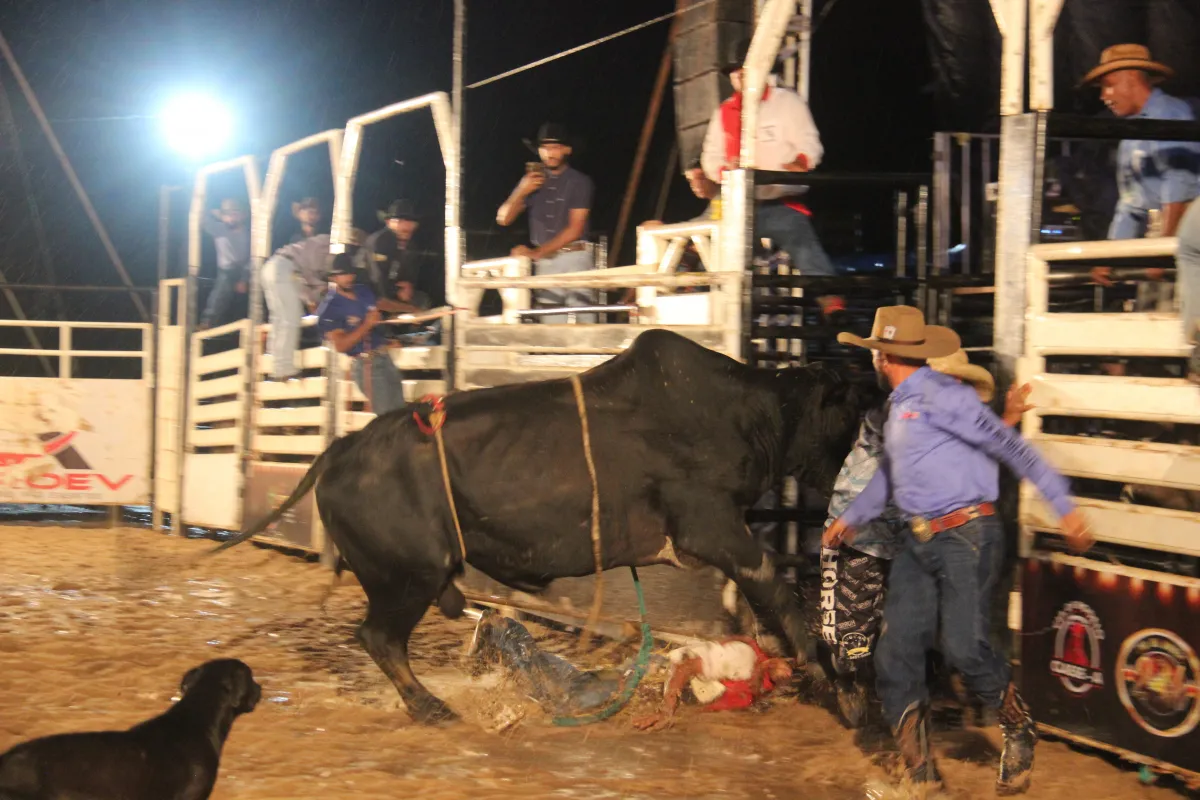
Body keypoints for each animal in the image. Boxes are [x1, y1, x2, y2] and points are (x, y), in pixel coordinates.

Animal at [213, 329, 881, 724]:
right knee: (380, 637)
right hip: (409, 575)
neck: (746, 412)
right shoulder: (712, 527)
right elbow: (778, 592)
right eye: (852, 410)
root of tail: (339, 450)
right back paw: (430, 707)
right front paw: (843, 691)